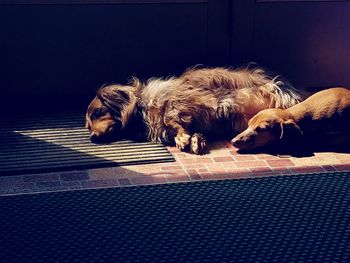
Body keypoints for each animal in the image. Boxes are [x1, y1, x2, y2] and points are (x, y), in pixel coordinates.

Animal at [85, 65, 306, 155]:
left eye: (98, 113)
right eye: (87, 126)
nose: (92, 138)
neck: (142, 110)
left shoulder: (183, 100)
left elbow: (171, 117)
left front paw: (183, 138)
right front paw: (195, 140)